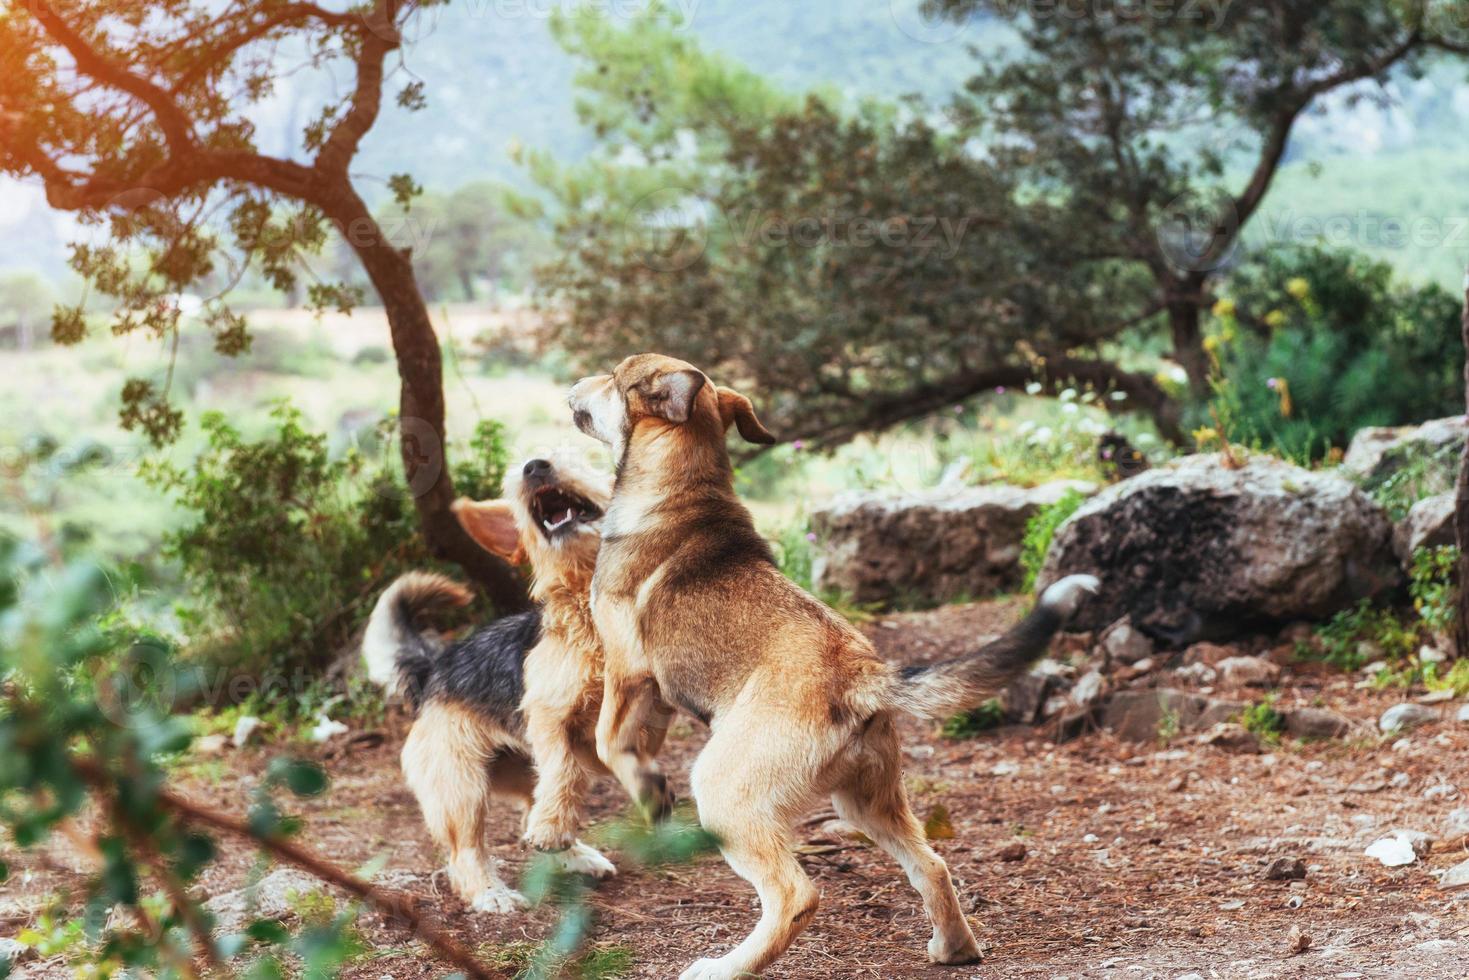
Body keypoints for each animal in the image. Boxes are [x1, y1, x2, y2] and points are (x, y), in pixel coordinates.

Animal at [567, 354, 1098, 980]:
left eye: (613, 377)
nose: (572, 387)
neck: (683, 486)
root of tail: (861, 675)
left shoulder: (628, 671)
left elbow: (608, 743)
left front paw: (646, 789)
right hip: (866, 801)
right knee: (932, 864)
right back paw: (954, 948)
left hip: (724, 794)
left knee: (796, 896)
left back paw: (725, 967)